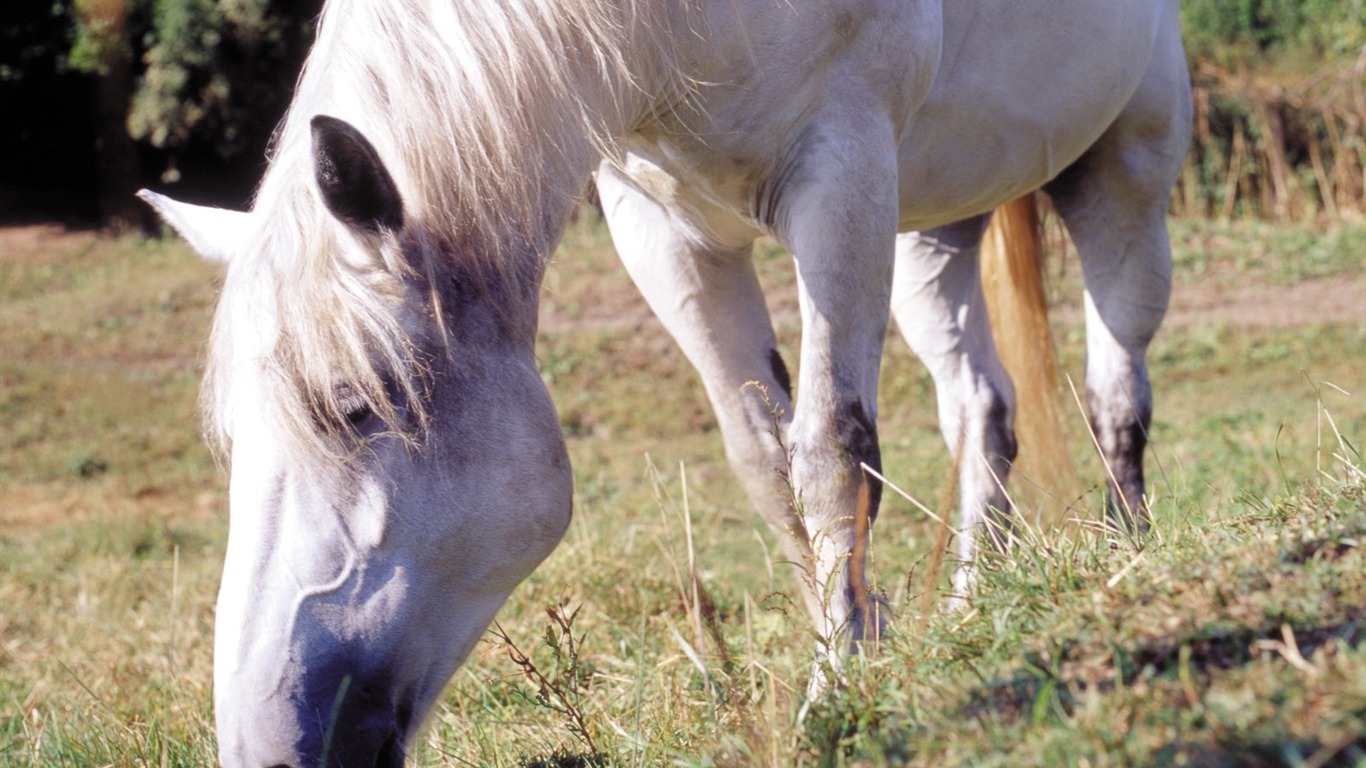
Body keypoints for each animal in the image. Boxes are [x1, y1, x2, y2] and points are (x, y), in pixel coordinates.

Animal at [135, 0, 1185, 759]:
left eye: (355, 411)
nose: (268, 742)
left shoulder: (842, 171)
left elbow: (832, 453)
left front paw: (838, 693)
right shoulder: (666, 231)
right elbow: (769, 467)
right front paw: (860, 644)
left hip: (1124, 165)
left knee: (1116, 387)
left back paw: (1130, 555)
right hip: (936, 225)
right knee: (983, 410)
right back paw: (973, 601)